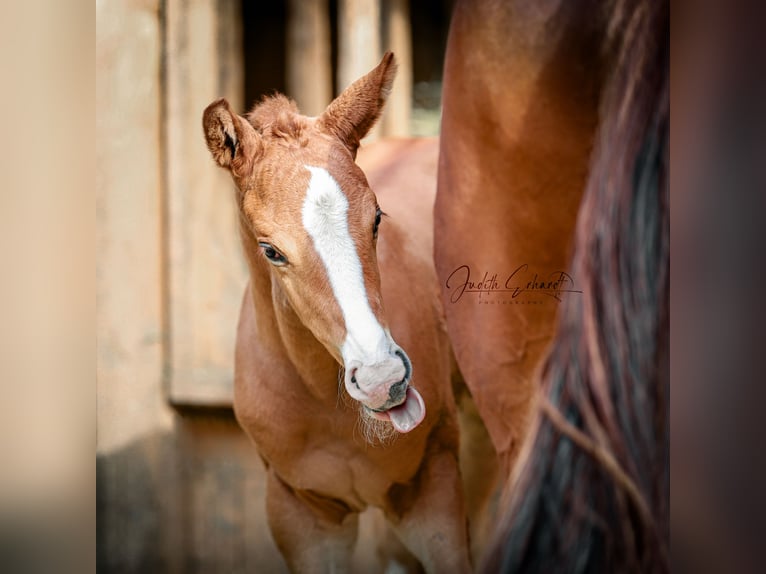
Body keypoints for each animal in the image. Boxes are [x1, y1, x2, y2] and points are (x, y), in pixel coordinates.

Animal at [201, 54, 472, 574]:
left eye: (377, 218)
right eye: (271, 250)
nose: (383, 381)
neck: (325, 402)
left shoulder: (433, 486)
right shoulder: (304, 516)